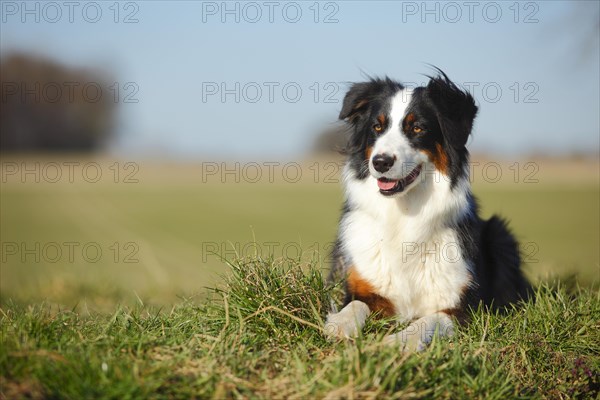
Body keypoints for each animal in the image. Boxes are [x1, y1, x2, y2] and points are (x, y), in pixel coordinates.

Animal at [324, 69, 528, 350]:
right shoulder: (364, 288)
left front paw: (396, 342)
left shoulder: (462, 307)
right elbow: (355, 304)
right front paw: (339, 324)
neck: (403, 213)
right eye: (377, 127)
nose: (380, 162)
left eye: (417, 128)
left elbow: (427, 321)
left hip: (500, 234)